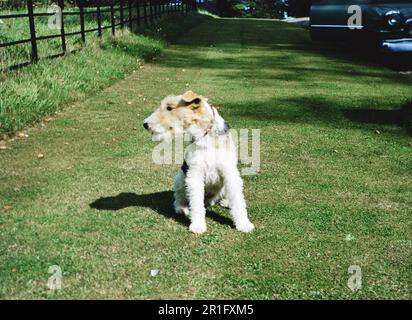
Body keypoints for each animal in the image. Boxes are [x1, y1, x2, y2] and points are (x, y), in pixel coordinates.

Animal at [144, 91, 254, 234]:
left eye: (169, 107)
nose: (145, 124)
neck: (205, 134)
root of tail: (210, 199)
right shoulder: (195, 174)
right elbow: (196, 203)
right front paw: (198, 225)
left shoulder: (229, 172)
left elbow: (238, 201)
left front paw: (244, 224)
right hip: (181, 178)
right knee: (179, 197)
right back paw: (181, 208)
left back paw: (225, 202)